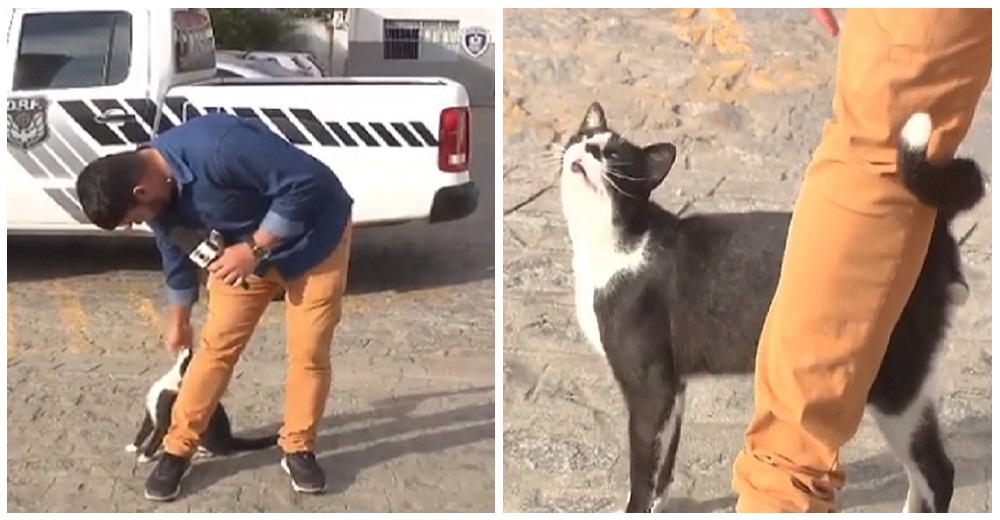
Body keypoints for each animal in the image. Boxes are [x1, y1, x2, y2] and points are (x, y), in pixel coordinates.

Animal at [128, 350, 282, 464]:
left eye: (191, 358)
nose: (189, 348)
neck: (174, 382)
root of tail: (229, 438)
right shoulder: (150, 414)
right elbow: (142, 432)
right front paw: (133, 447)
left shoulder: (164, 421)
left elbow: (154, 439)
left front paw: (145, 457)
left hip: (204, 434)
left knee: (219, 451)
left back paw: (199, 454)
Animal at [560, 101, 988, 512]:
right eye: (582, 137)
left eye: (614, 155)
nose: (587, 148)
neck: (620, 243)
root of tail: (935, 228)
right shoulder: (673, 387)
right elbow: (663, 464)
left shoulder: (650, 386)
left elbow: (644, 466)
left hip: (896, 383)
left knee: (937, 472)